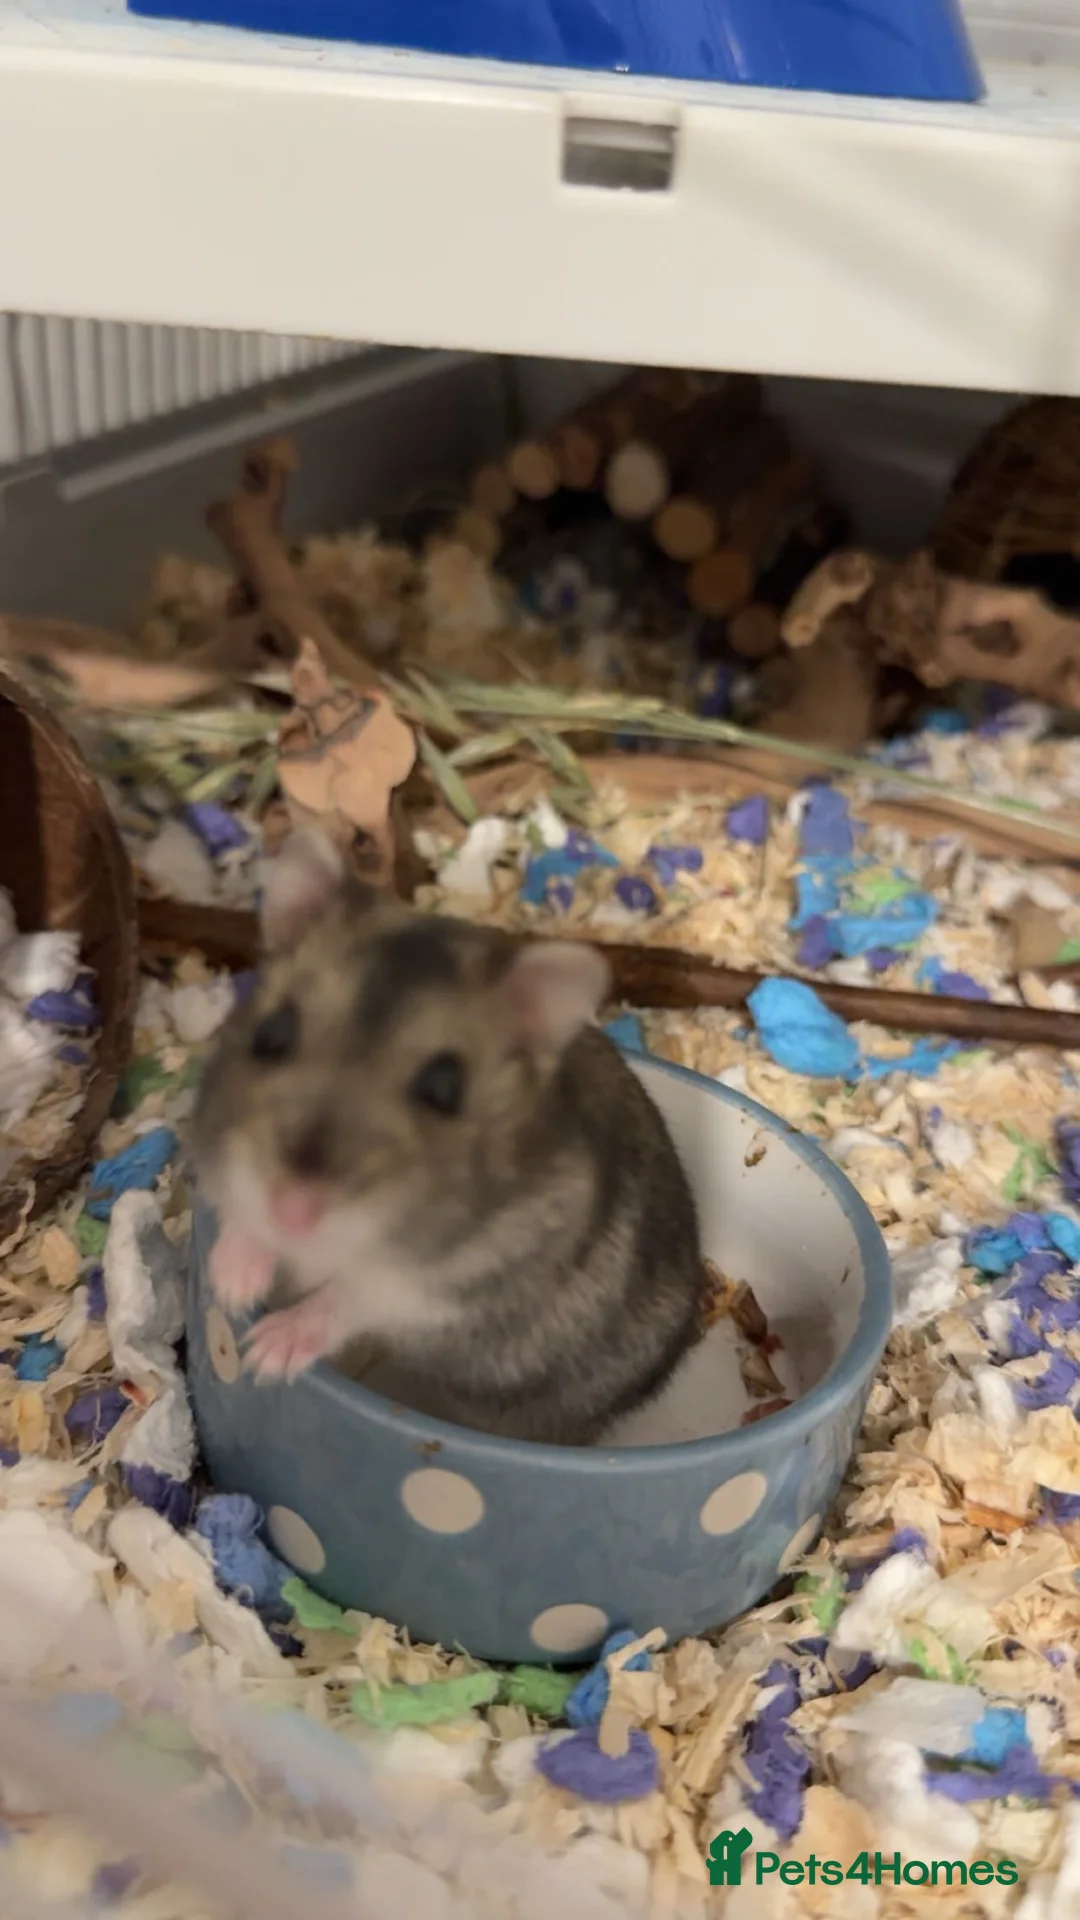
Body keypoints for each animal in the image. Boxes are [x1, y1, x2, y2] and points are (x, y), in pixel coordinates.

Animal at [191, 828, 703, 1446]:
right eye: (271, 1035)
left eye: (444, 1086)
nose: (291, 1210)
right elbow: (239, 1213)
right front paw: (232, 1284)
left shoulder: (446, 1287)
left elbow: (349, 1298)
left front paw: (265, 1352)